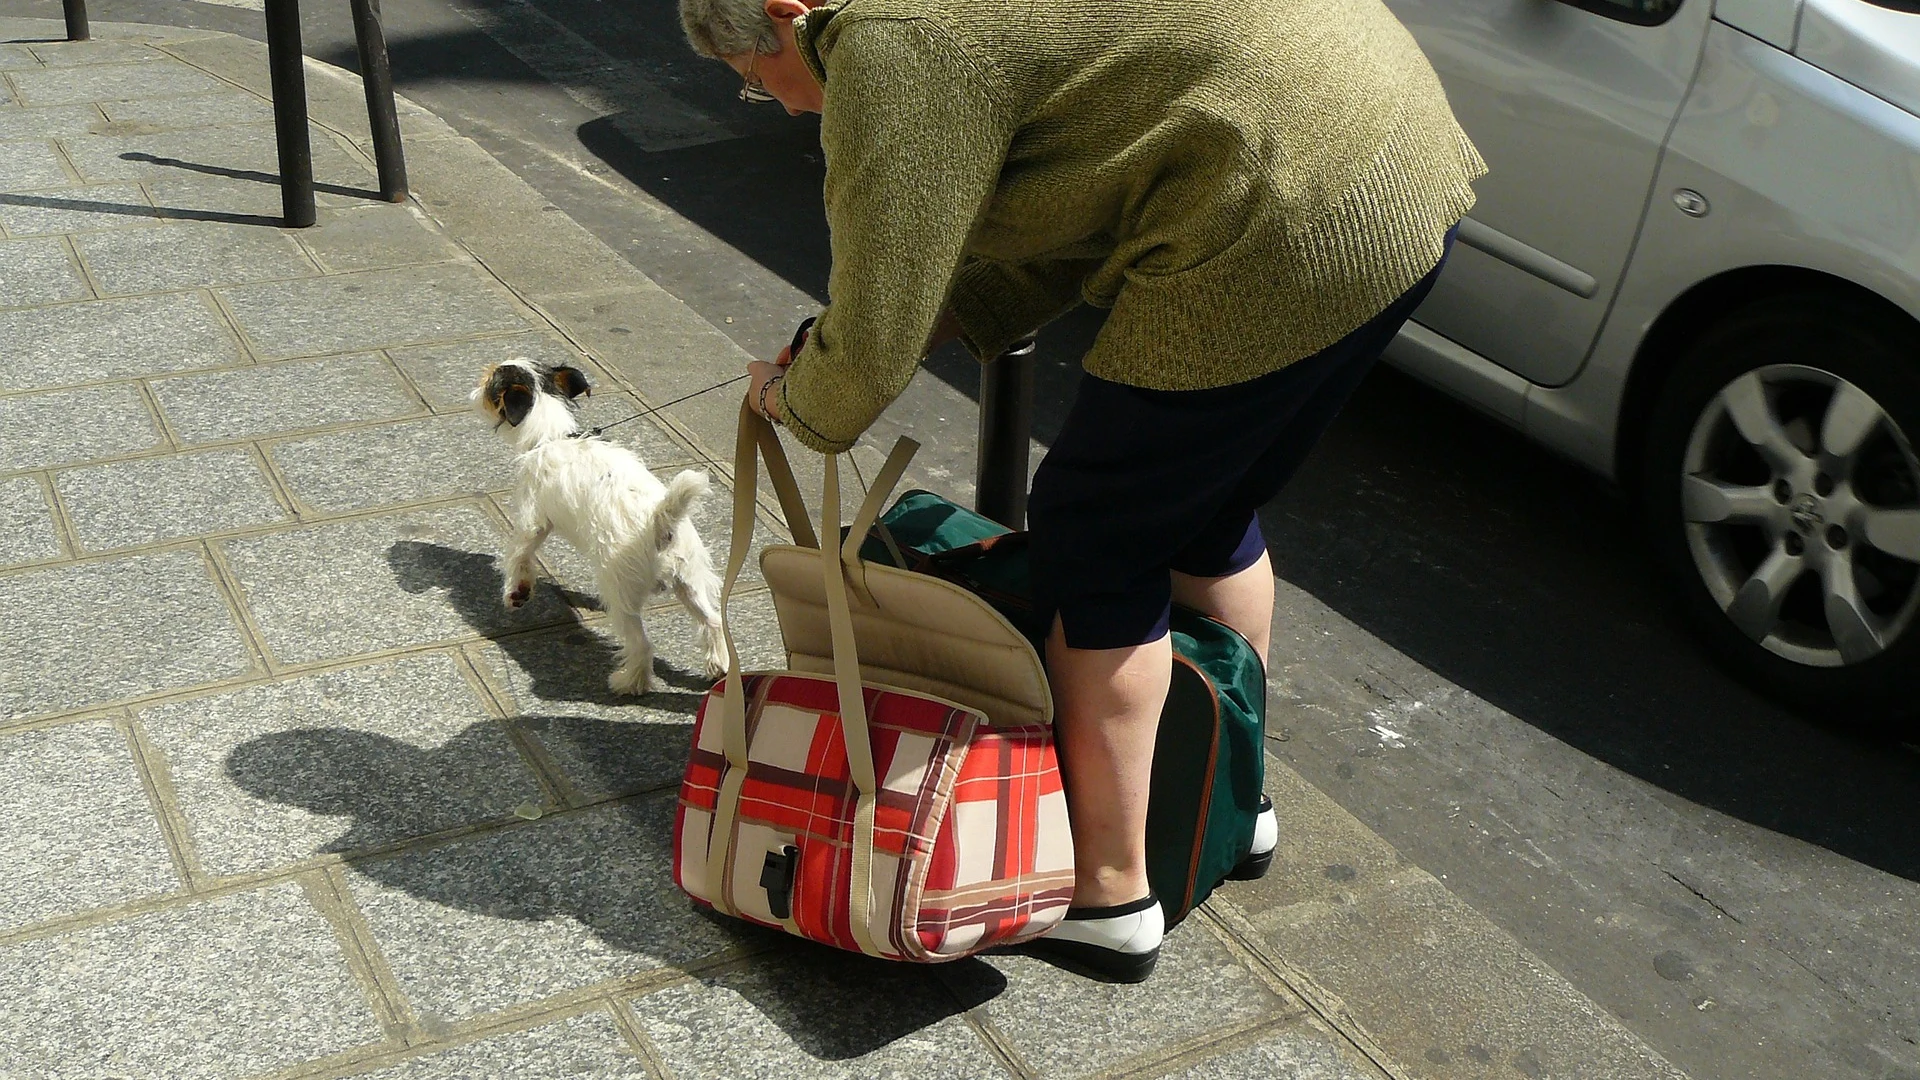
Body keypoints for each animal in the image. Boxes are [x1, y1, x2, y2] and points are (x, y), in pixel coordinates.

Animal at [470, 357, 725, 691]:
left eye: (489, 380)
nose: (474, 391)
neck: (551, 437)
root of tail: (661, 523)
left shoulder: (532, 519)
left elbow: (519, 554)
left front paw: (517, 592)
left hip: (620, 590)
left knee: (642, 644)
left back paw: (629, 683)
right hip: (690, 579)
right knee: (713, 621)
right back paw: (718, 667)